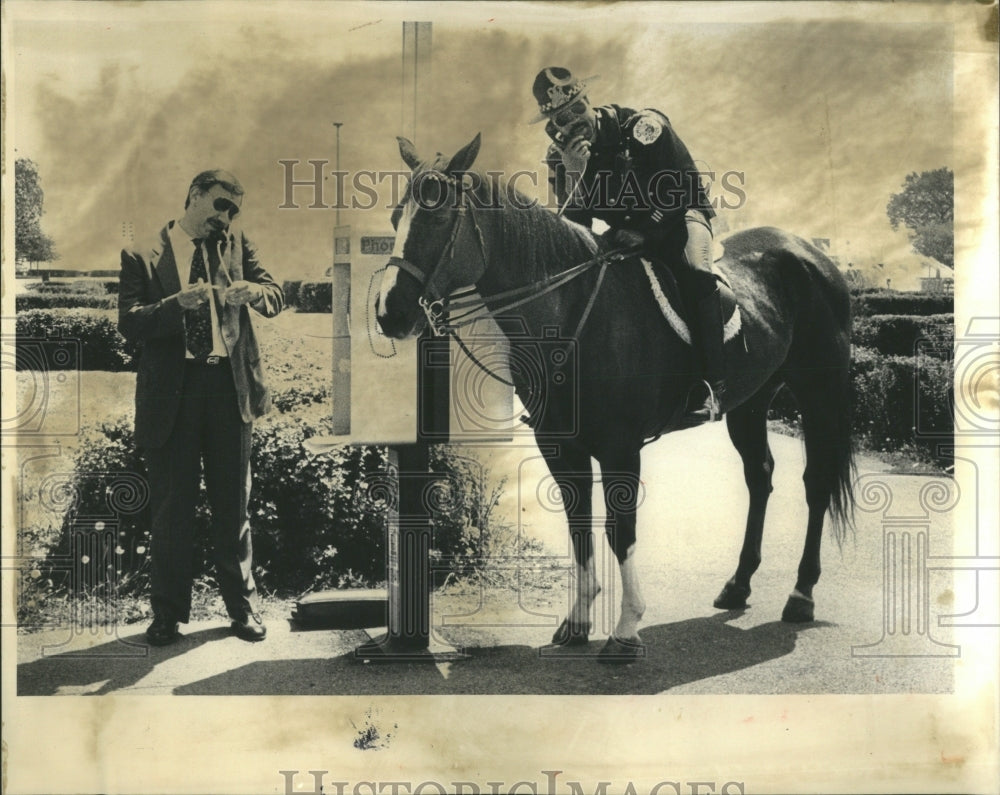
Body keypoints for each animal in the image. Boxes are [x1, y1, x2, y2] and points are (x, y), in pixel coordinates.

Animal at [376, 134, 852, 664]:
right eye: (396, 217)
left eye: (438, 216)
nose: (390, 312)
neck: (572, 314)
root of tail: (807, 251)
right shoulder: (561, 447)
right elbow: (580, 525)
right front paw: (578, 620)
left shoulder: (621, 448)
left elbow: (620, 531)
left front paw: (626, 629)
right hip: (750, 403)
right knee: (760, 478)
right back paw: (738, 584)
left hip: (819, 393)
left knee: (816, 483)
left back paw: (801, 593)